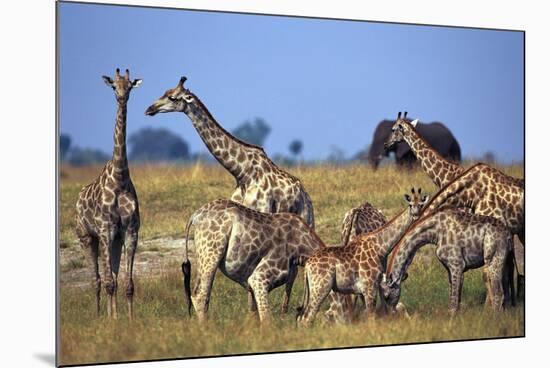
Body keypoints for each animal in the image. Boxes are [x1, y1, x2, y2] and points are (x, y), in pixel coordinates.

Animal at [75, 69, 142, 320]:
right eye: (114, 86)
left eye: (130, 86)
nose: (122, 98)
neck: (120, 178)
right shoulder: (104, 230)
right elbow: (108, 283)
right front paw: (112, 322)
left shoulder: (130, 231)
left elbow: (127, 283)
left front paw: (129, 320)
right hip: (86, 237)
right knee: (96, 280)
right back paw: (99, 316)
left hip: (114, 240)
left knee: (109, 276)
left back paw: (111, 314)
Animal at [146, 76, 314, 229]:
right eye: (164, 92)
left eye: (172, 97)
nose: (149, 109)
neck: (243, 173)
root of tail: (306, 197)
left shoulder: (263, 208)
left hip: (306, 218)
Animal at [181, 198, 328, 322]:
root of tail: (195, 215)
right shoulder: (259, 277)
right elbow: (265, 317)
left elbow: (255, 311)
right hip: (211, 253)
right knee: (200, 296)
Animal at [384, 208, 516, 314]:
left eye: (386, 296)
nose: (391, 313)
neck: (435, 232)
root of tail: (508, 234)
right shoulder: (450, 267)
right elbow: (455, 296)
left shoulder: (456, 264)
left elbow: (453, 301)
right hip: (506, 261)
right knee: (506, 293)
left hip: (492, 259)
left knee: (499, 292)